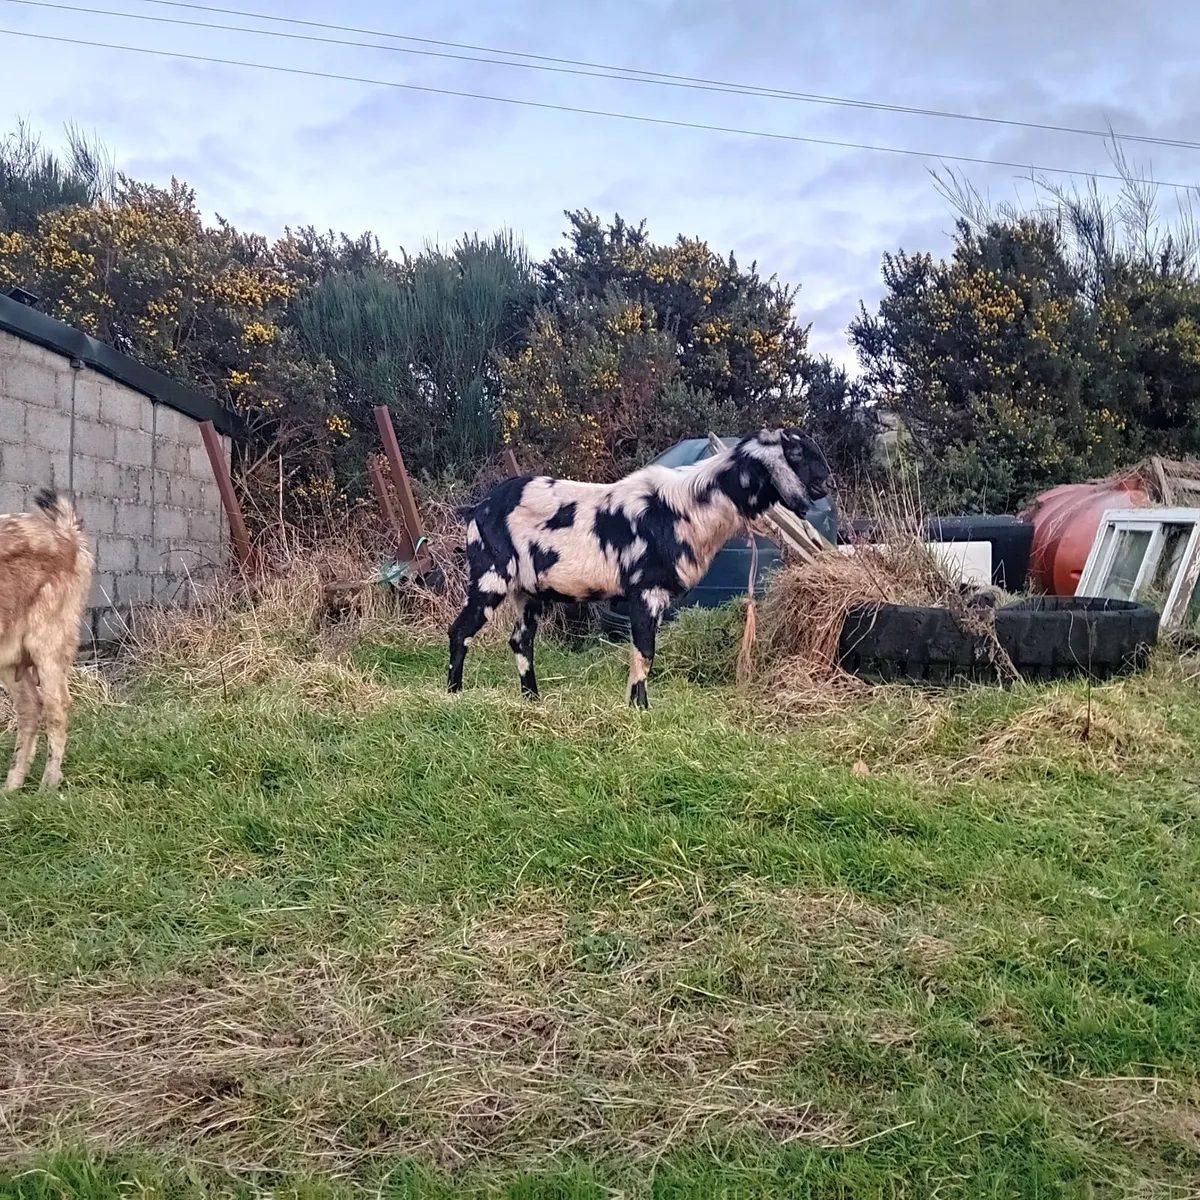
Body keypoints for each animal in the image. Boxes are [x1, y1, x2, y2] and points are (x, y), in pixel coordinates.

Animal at [0, 489, 93, 790]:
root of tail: (68, 533)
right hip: (10, 656)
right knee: (29, 707)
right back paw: (13, 785)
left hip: (50, 642)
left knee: (57, 707)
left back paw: (49, 783)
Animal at [448, 428, 831, 707]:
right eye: (798, 453)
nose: (829, 483)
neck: (688, 507)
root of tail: (477, 508)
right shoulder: (646, 591)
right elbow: (645, 651)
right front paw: (640, 709)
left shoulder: (656, 599)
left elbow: (644, 651)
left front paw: (636, 706)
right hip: (490, 577)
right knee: (460, 631)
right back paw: (454, 694)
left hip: (527, 592)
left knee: (520, 641)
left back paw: (532, 700)